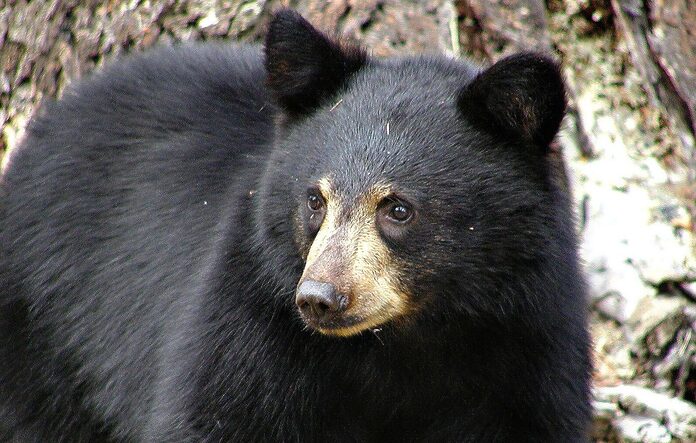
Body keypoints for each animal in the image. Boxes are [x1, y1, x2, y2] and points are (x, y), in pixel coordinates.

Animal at [0, 7, 592, 443]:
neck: (402, 342)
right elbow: (218, 416)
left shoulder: (528, 342)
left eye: (398, 208)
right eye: (315, 200)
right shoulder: (251, 321)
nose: (320, 299)